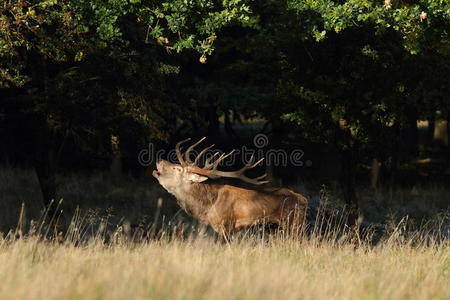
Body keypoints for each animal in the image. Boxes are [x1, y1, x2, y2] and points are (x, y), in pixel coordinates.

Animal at [153, 137, 308, 240]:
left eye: (177, 169)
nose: (159, 159)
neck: (208, 207)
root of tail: (304, 200)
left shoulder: (226, 226)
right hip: (272, 227)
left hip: (294, 223)